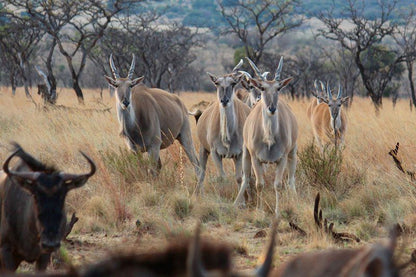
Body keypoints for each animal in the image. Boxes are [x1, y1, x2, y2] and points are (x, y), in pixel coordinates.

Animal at [195, 59, 250, 194]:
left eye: (233, 83)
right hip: (203, 149)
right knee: (201, 173)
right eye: (217, 83)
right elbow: (221, 177)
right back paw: (197, 194)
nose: (224, 100)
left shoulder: (239, 153)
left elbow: (239, 178)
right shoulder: (215, 152)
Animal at [234, 56, 300, 216]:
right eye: (262, 88)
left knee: (291, 180)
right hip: (246, 154)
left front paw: (277, 211)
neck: (269, 139)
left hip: (293, 153)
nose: (272, 108)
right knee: (245, 179)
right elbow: (259, 184)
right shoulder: (255, 158)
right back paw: (238, 202)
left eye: (278, 88)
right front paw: (259, 209)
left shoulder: (282, 158)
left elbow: (278, 185)